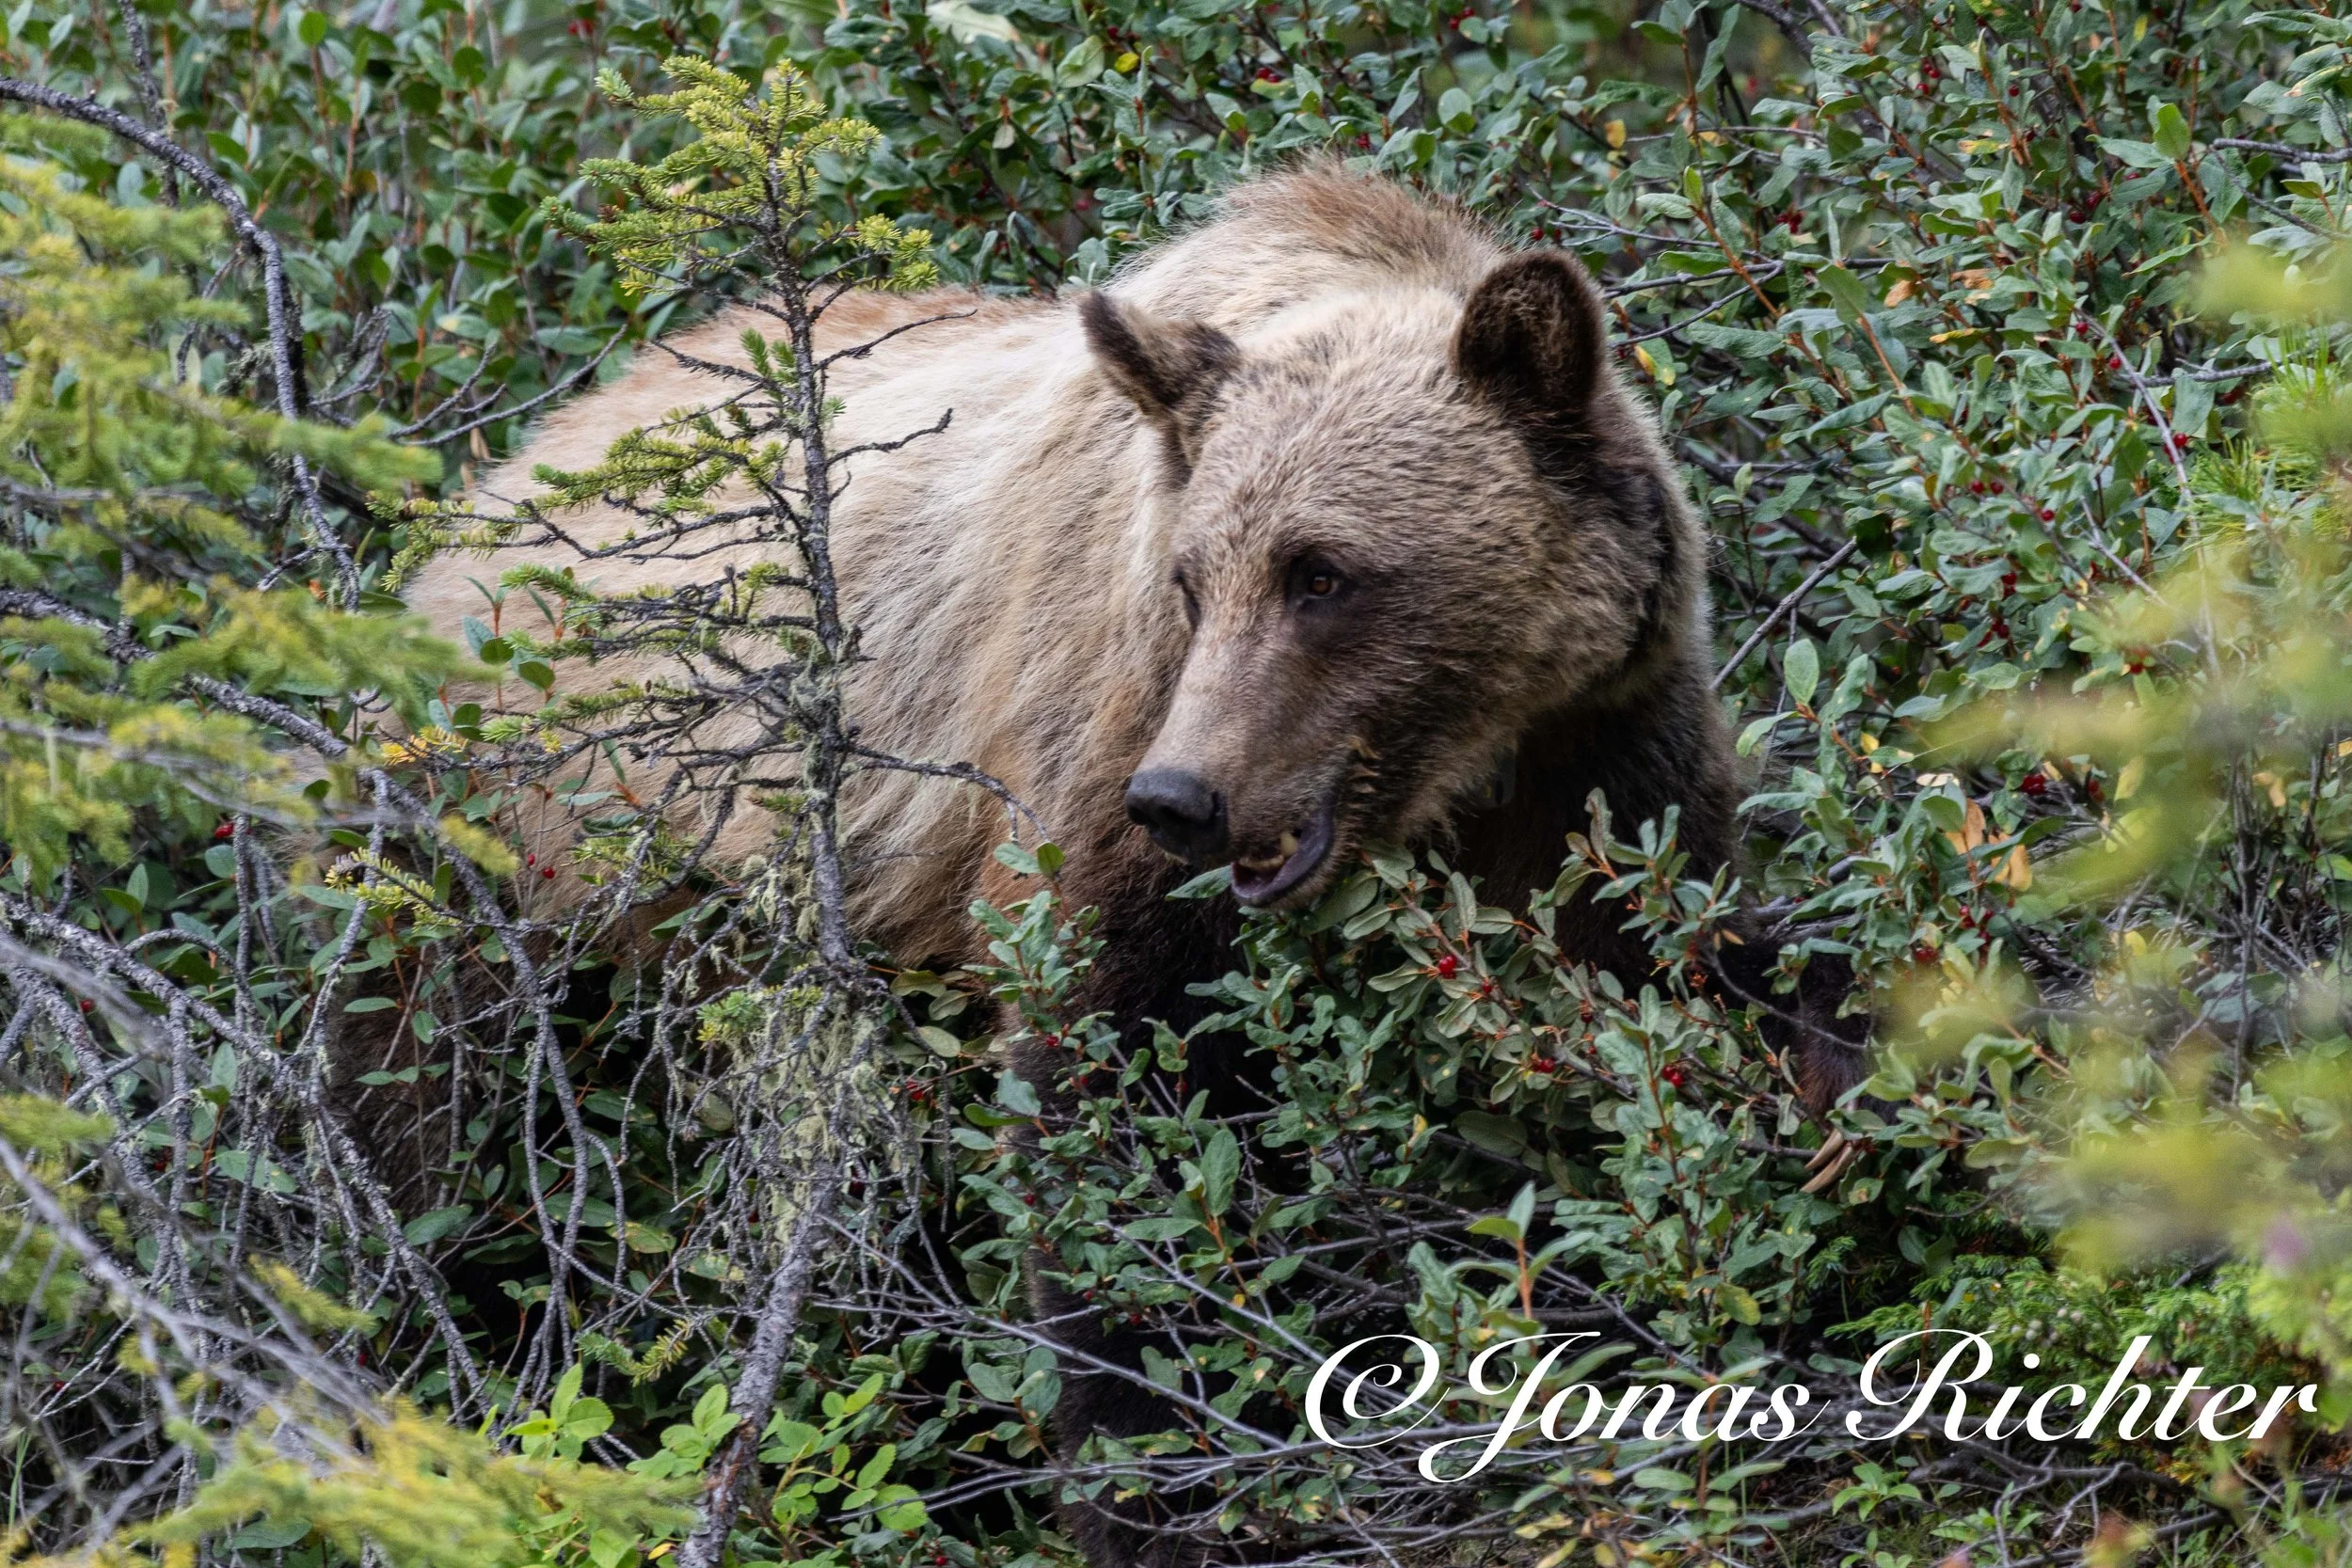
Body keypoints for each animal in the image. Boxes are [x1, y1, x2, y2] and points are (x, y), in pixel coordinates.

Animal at [400, 162, 1868, 1567]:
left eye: (1322, 573)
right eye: (1191, 579)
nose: (1184, 799)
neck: (1464, 767)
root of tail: (501, 473)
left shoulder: (1604, 757)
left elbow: (1665, 985)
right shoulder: (1092, 764)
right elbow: (1123, 1118)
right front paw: (1177, 1483)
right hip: (523, 837)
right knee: (429, 1100)